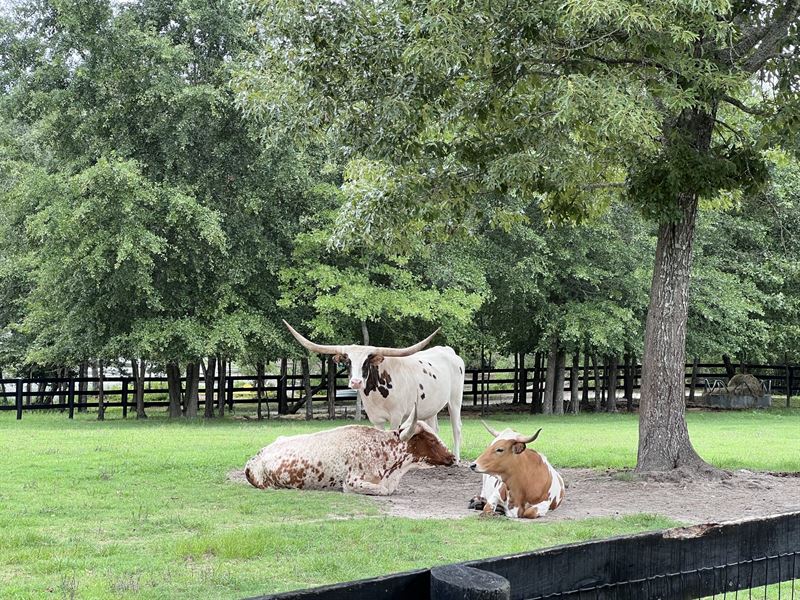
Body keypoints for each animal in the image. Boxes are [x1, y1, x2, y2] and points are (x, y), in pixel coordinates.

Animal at [282, 322, 466, 462]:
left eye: (366, 362)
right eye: (347, 361)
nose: (356, 382)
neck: (378, 394)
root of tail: (448, 351)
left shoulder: (396, 416)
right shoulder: (375, 418)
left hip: (455, 401)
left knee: (456, 428)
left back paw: (456, 458)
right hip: (430, 408)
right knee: (434, 428)